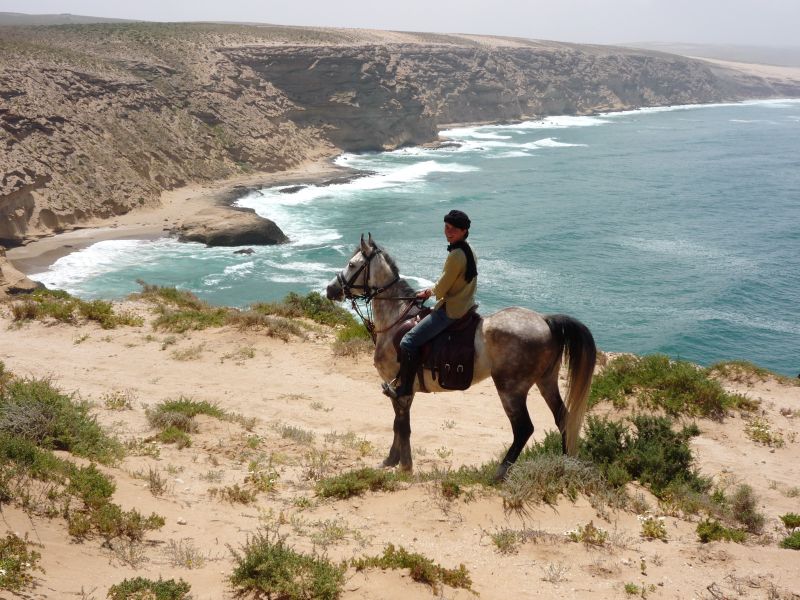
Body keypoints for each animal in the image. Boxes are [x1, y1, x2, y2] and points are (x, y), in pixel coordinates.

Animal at [324, 233, 592, 478]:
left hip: (511, 388)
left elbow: (402, 425)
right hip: (546, 380)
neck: (396, 317)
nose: (330, 289)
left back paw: (499, 474)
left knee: (524, 429)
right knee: (562, 418)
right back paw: (565, 465)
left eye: (352, 265)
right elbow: (398, 425)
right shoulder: (400, 388)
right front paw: (393, 460)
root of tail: (545, 321)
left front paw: (404, 466)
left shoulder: (401, 388)